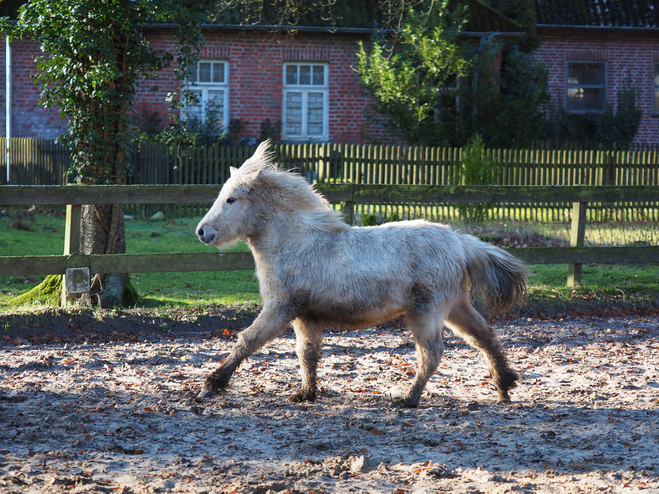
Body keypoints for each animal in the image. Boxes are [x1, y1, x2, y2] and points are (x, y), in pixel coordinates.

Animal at [196, 141, 524, 408]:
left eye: (231, 199)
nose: (201, 231)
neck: (294, 242)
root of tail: (459, 242)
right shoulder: (305, 315)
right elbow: (307, 354)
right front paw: (306, 393)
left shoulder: (280, 308)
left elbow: (247, 341)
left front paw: (210, 386)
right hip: (455, 305)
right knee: (484, 335)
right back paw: (504, 387)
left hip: (426, 311)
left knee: (431, 354)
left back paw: (409, 398)